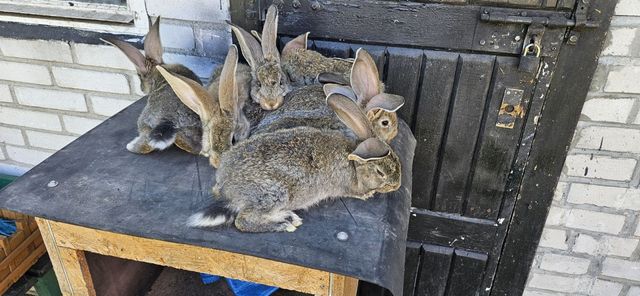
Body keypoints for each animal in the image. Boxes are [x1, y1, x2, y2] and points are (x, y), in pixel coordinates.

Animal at [102, 16, 202, 155]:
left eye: (139, 76)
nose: (142, 88)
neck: (157, 71)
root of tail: (169, 119)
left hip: (144, 123)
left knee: (145, 144)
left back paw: (130, 146)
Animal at [188, 92, 402, 231]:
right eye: (380, 172)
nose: (397, 185)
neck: (354, 162)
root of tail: (228, 190)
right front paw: (369, 193)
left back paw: (288, 218)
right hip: (274, 194)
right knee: (243, 220)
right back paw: (283, 224)